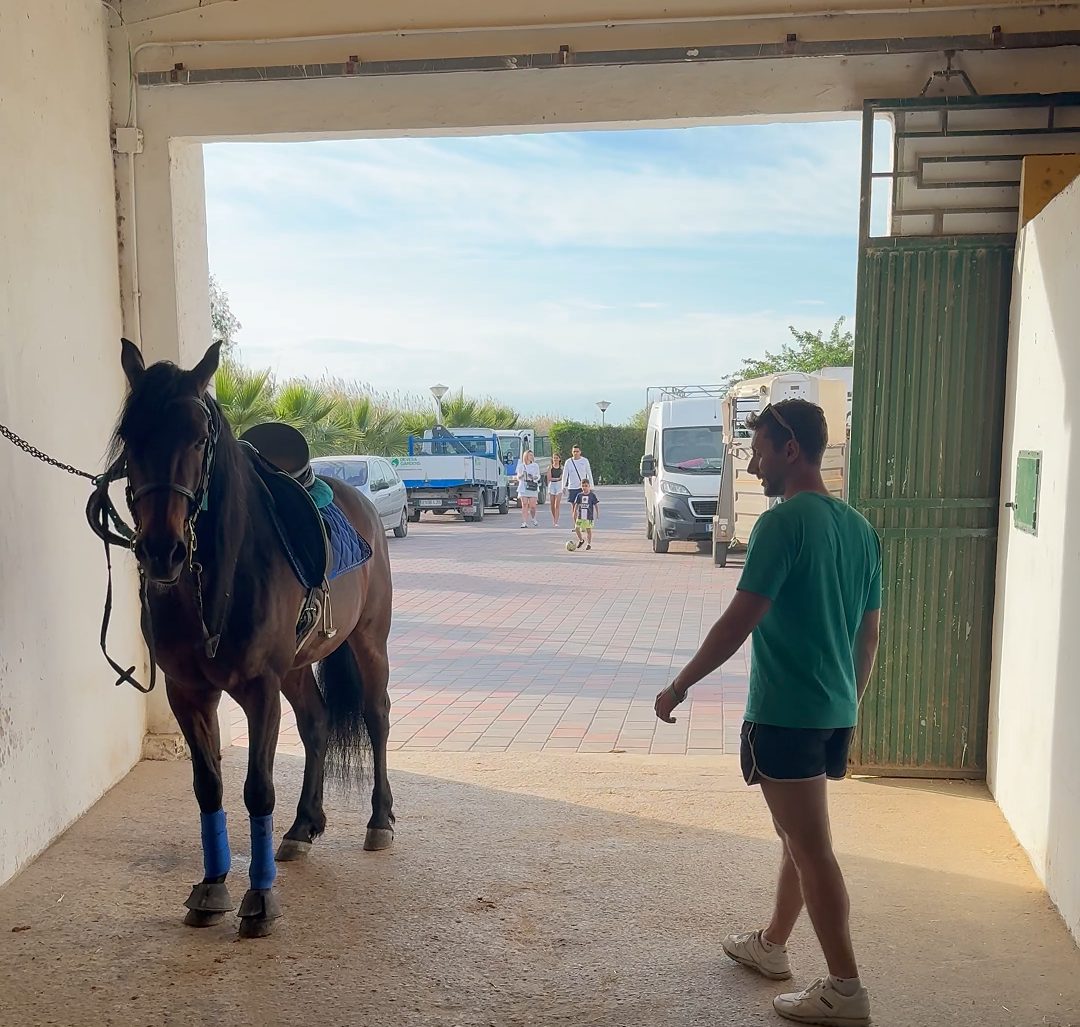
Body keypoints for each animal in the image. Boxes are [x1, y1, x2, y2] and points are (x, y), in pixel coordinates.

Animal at [113, 339, 394, 938]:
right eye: (130, 436)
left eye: (198, 437)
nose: (162, 551)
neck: (216, 577)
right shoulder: (188, 692)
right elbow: (209, 786)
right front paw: (212, 886)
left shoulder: (261, 688)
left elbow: (256, 789)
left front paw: (260, 900)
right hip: (298, 666)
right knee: (316, 723)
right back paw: (302, 827)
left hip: (369, 642)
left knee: (376, 716)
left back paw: (380, 820)